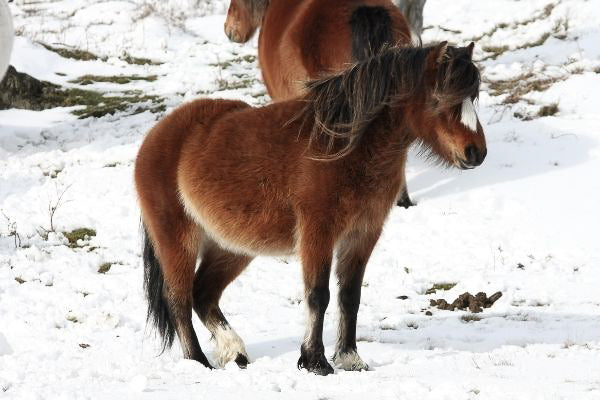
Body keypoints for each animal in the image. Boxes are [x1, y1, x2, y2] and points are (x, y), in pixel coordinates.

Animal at [137, 41, 488, 376]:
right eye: (441, 98)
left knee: (204, 294)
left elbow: (350, 295)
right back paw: (199, 361)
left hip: (232, 248)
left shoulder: (363, 234)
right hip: (178, 241)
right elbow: (319, 295)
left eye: (473, 95)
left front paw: (350, 358)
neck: (343, 146)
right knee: (179, 299)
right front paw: (315, 361)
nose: (476, 152)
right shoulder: (318, 232)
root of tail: (156, 136)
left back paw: (235, 352)